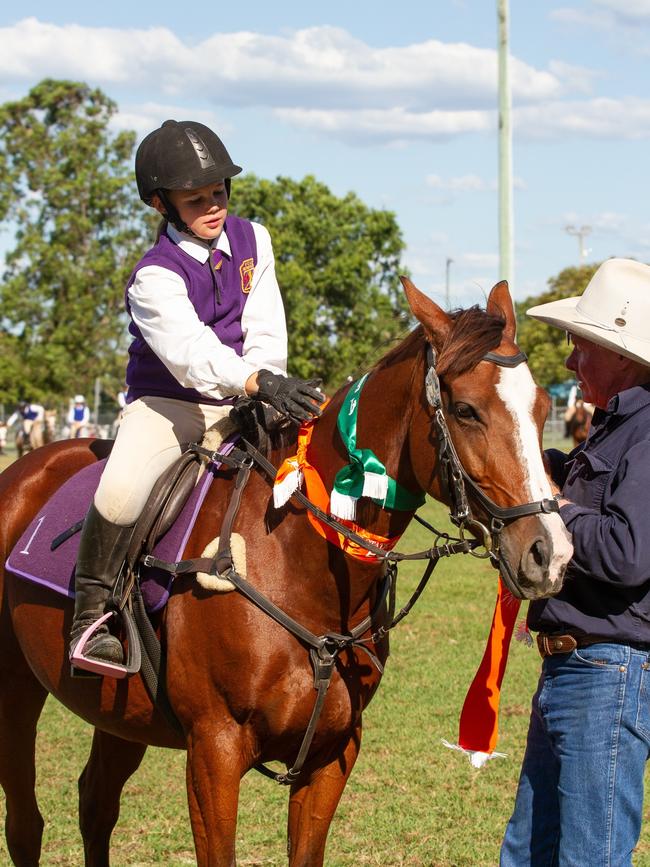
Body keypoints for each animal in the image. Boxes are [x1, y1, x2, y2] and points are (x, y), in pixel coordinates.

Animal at [0, 280, 568, 867]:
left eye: (543, 406)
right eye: (465, 410)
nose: (550, 553)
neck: (299, 565)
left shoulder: (333, 754)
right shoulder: (214, 752)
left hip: (119, 712)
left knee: (95, 803)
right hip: (14, 690)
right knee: (26, 823)